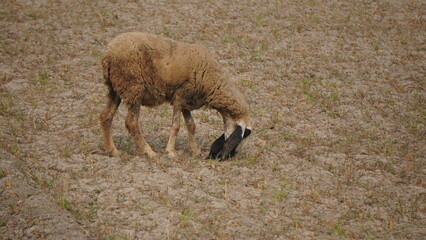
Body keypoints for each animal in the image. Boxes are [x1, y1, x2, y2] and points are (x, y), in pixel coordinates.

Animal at [100, 31, 251, 159]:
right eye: (244, 135)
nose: (233, 155)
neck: (212, 81)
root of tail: (108, 53)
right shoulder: (180, 96)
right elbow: (176, 125)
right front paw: (171, 152)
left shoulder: (187, 101)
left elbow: (191, 125)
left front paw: (195, 150)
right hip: (133, 89)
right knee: (131, 123)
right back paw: (149, 152)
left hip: (115, 88)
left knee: (106, 117)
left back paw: (112, 150)